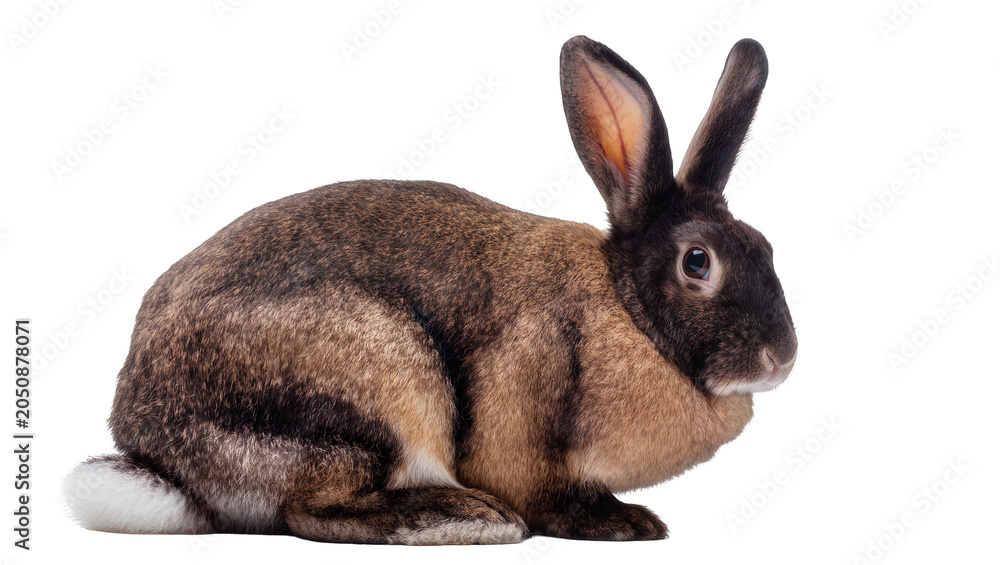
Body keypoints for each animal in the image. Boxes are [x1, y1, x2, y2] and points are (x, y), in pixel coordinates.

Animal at [63, 35, 796, 544]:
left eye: (765, 245)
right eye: (697, 263)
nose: (781, 358)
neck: (626, 310)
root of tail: (156, 452)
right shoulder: (527, 409)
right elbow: (548, 498)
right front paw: (627, 523)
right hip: (374, 395)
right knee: (314, 512)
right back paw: (462, 517)